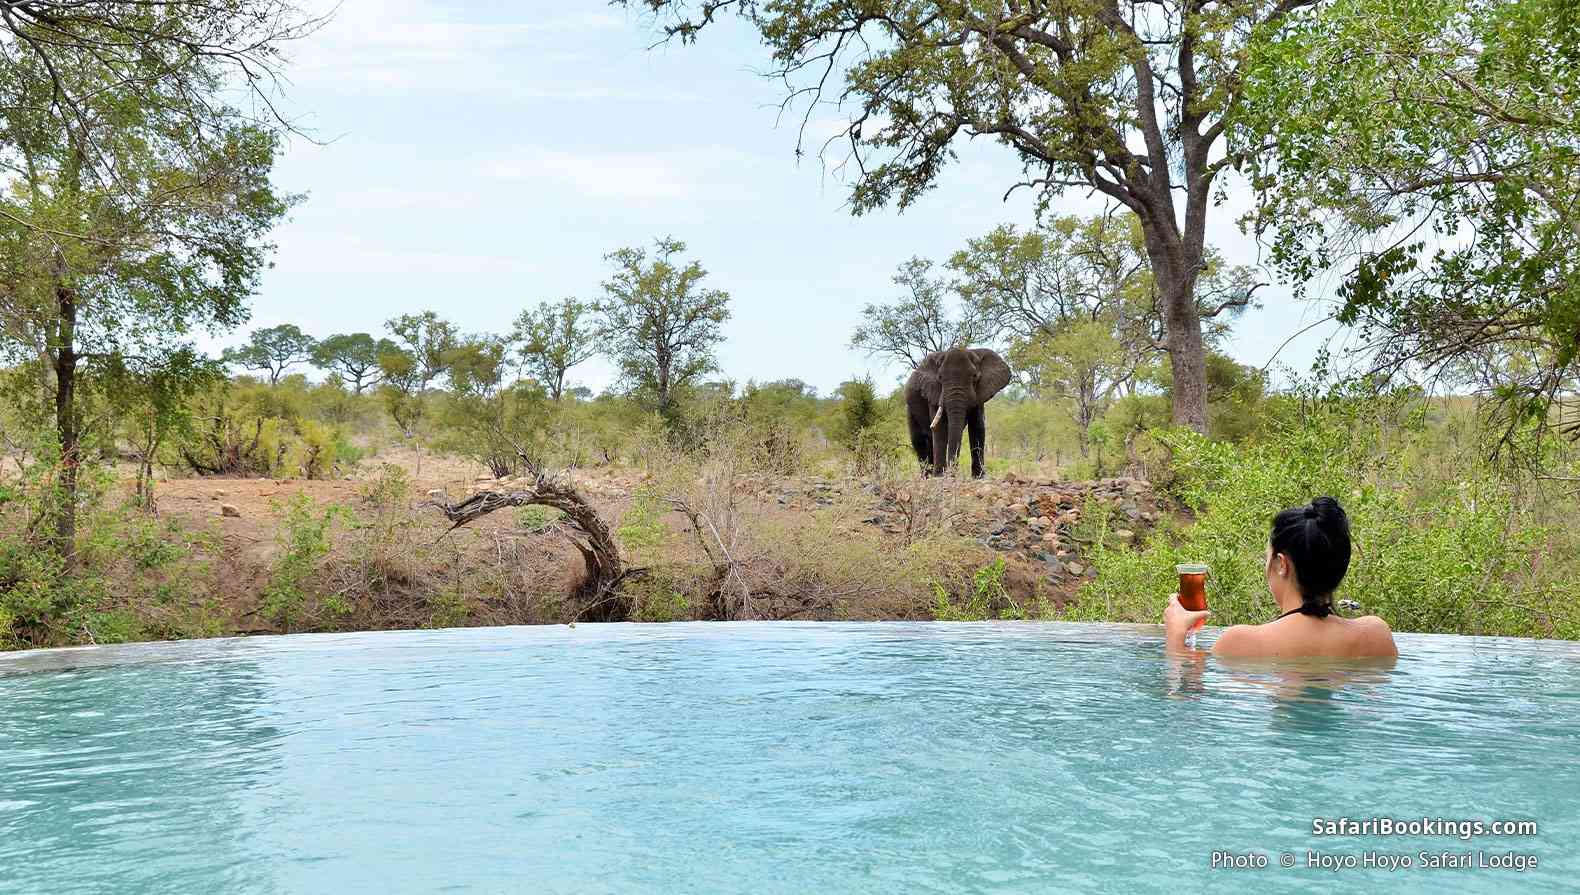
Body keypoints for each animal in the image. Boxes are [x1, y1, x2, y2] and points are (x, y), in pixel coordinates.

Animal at [904, 347, 1013, 478]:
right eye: (940, 377)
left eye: (975, 376)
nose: (952, 474)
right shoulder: (934, 392)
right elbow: (940, 428)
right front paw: (940, 476)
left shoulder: (979, 393)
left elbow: (977, 427)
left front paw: (979, 477)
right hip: (910, 409)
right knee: (919, 440)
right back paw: (927, 476)